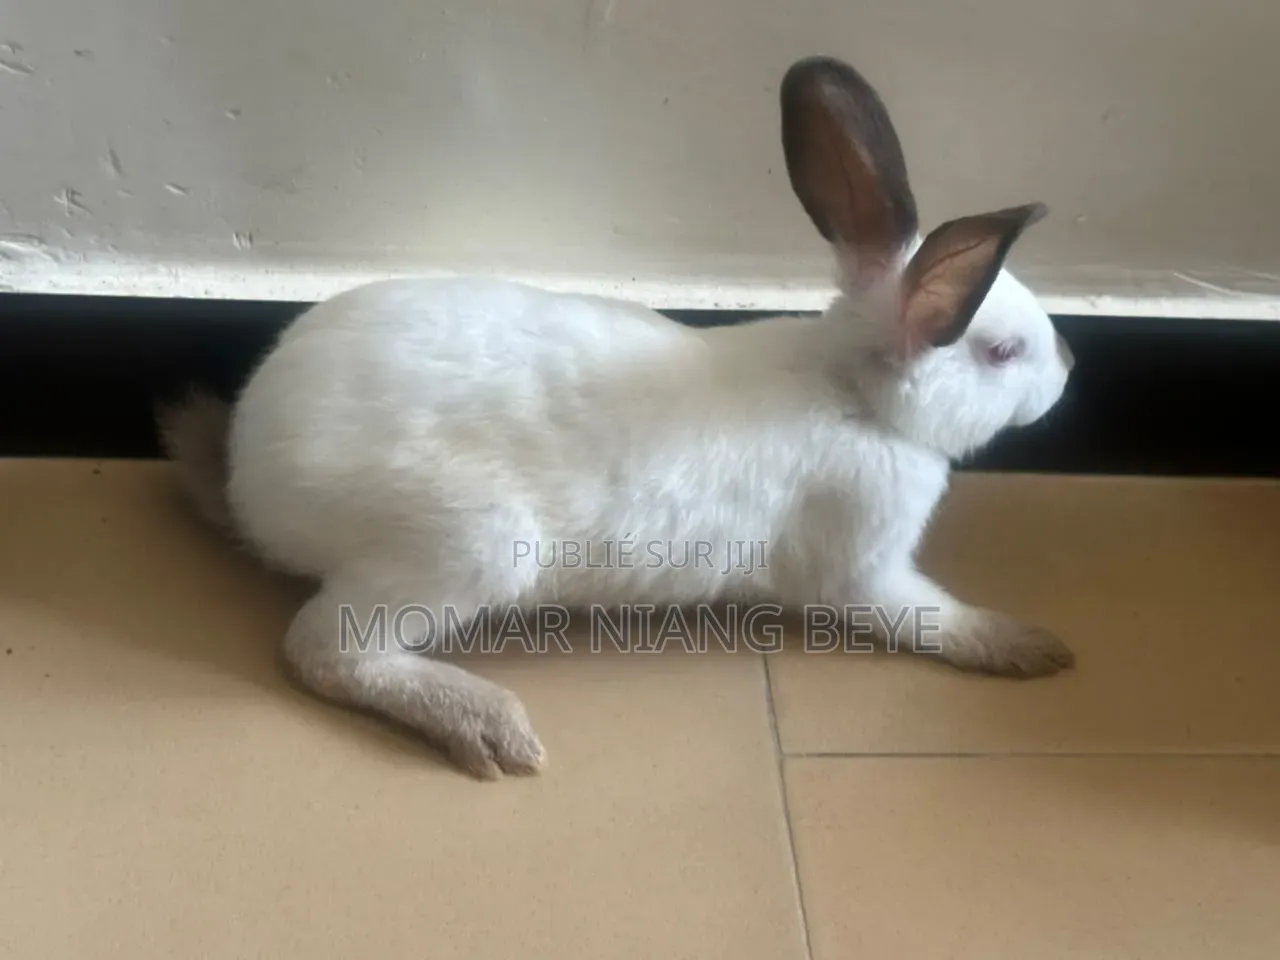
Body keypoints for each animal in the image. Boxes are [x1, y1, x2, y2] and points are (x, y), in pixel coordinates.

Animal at [157, 54, 1075, 780]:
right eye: (1002, 351)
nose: (1069, 366)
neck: (850, 392)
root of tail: (246, 474)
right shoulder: (863, 567)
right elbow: (929, 616)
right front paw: (1027, 646)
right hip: (471, 545)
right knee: (324, 651)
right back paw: (492, 728)